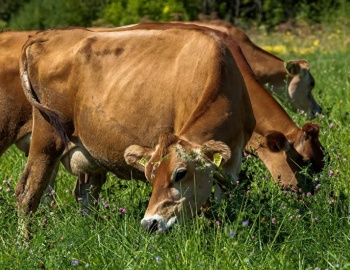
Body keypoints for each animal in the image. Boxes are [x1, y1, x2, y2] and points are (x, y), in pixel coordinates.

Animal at [15, 26, 254, 235]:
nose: (150, 223)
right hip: (47, 137)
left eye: (180, 173)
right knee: (27, 192)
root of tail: (48, 34)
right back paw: (25, 243)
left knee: (84, 197)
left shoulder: (232, 163)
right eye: (150, 176)